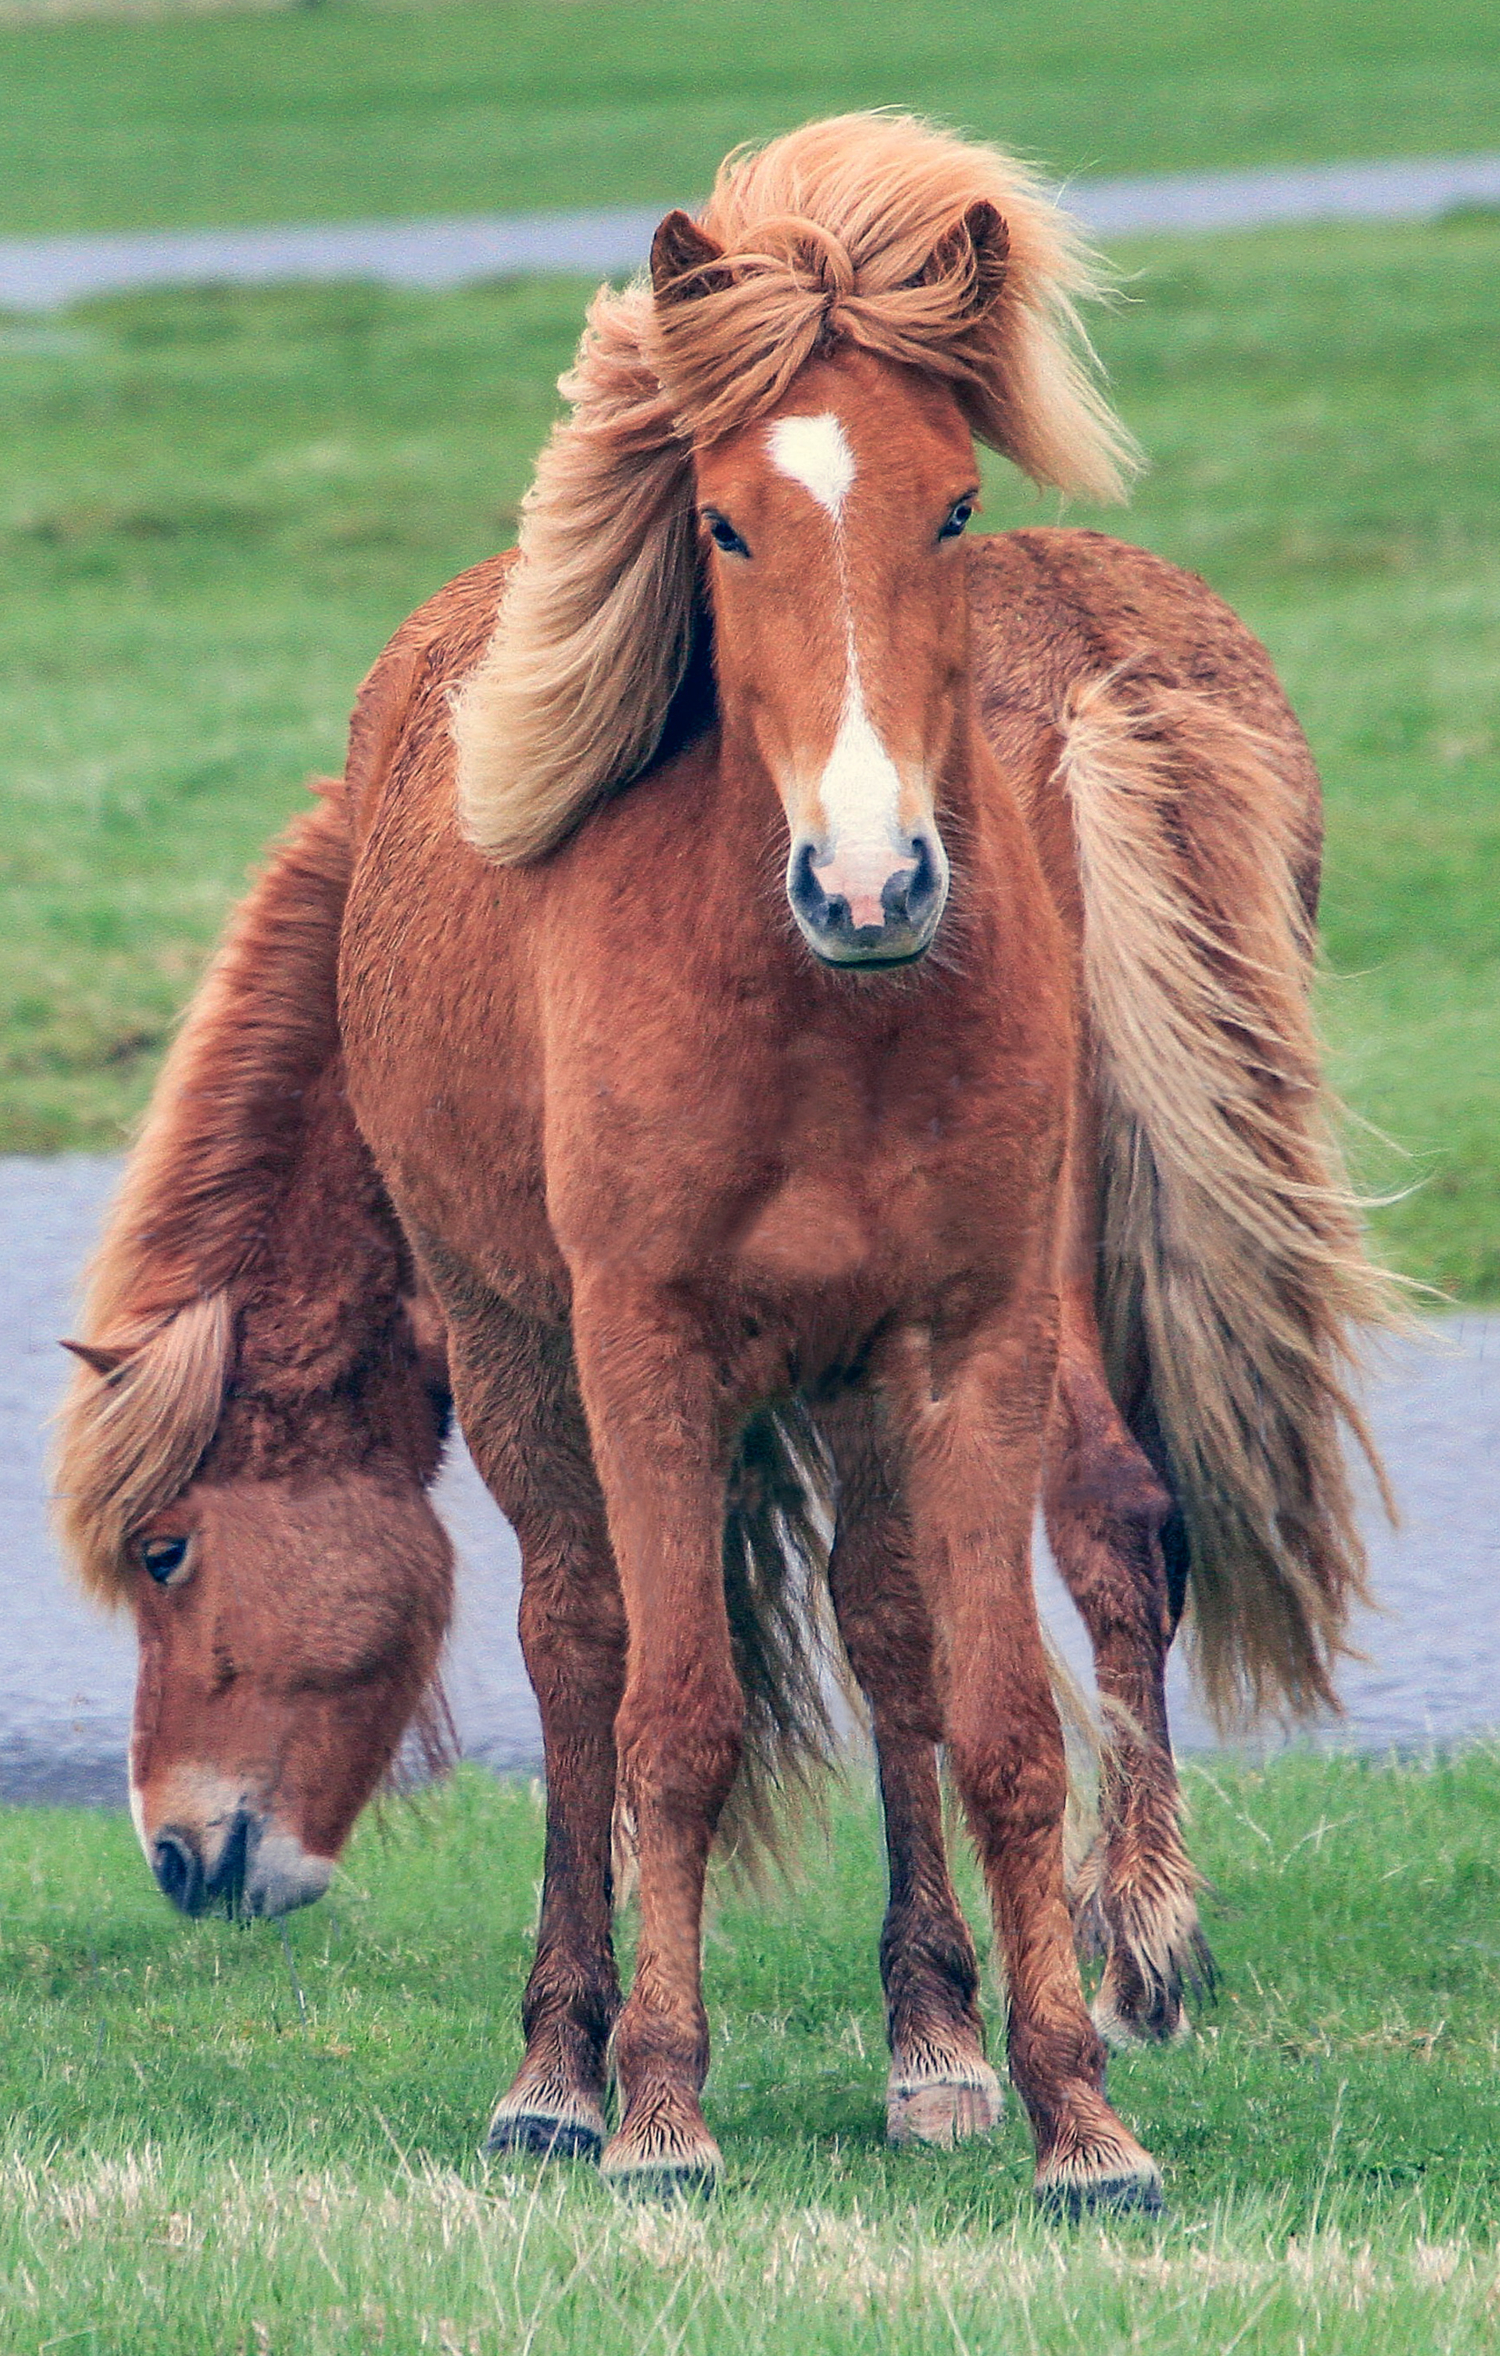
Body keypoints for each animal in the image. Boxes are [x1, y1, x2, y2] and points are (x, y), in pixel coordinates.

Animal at [58, 110, 1394, 2205]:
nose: (188, 1856)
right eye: (727, 523)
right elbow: (722, 1692)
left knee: (955, 1572)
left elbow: (958, 1705)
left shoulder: (947, 1328)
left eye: (173, 1546)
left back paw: (1043, 1977)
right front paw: (688, 2095)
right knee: (640, 1638)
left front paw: (1055, 2104)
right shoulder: (673, 1343)